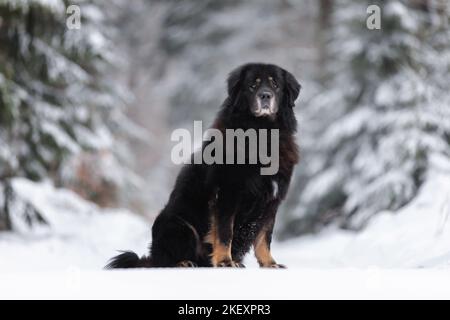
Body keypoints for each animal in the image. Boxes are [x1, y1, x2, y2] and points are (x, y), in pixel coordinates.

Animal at [107, 62, 300, 268]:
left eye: (275, 85)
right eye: (252, 85)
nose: (265, 95)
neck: (262, 133)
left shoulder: (272, 200)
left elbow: (264, 236)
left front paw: (270, 263)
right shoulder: (227, 194)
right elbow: (225, 232)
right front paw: (224, 261)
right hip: (178, 224)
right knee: (166, 259)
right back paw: (185, 263)